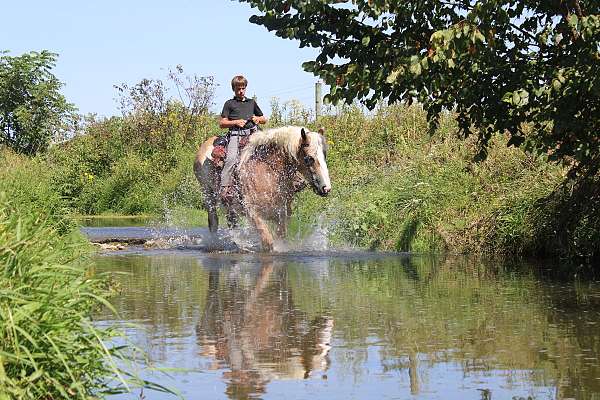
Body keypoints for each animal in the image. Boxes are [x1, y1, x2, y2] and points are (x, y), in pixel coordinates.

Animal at [195, 126, 330, 250]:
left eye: (324, 156)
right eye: (309, 158)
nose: (326, 188)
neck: (267, 172)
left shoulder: (282, 214)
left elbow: (280, 238)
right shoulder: (254, 213)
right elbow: (268, 243)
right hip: (207, 194)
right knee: (213, 221)